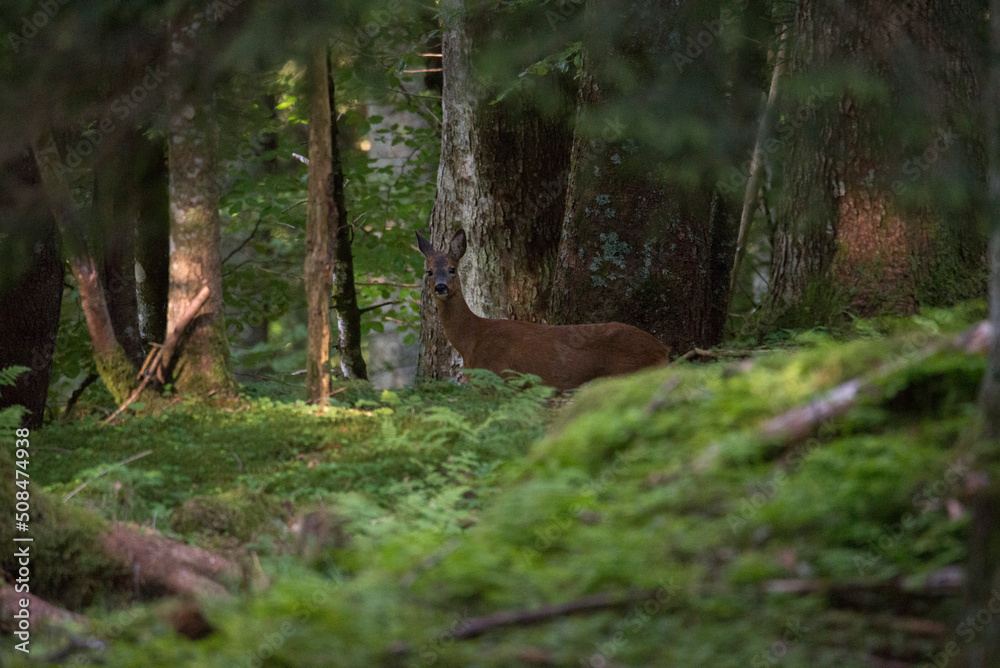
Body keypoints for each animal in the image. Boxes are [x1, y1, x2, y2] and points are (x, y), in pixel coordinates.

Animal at [417, 229, 671, 390]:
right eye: (429, 271)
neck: (472, 340)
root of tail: (663, 348)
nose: (440, 286)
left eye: (452, 269)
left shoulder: (500, 376)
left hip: (630, 372)